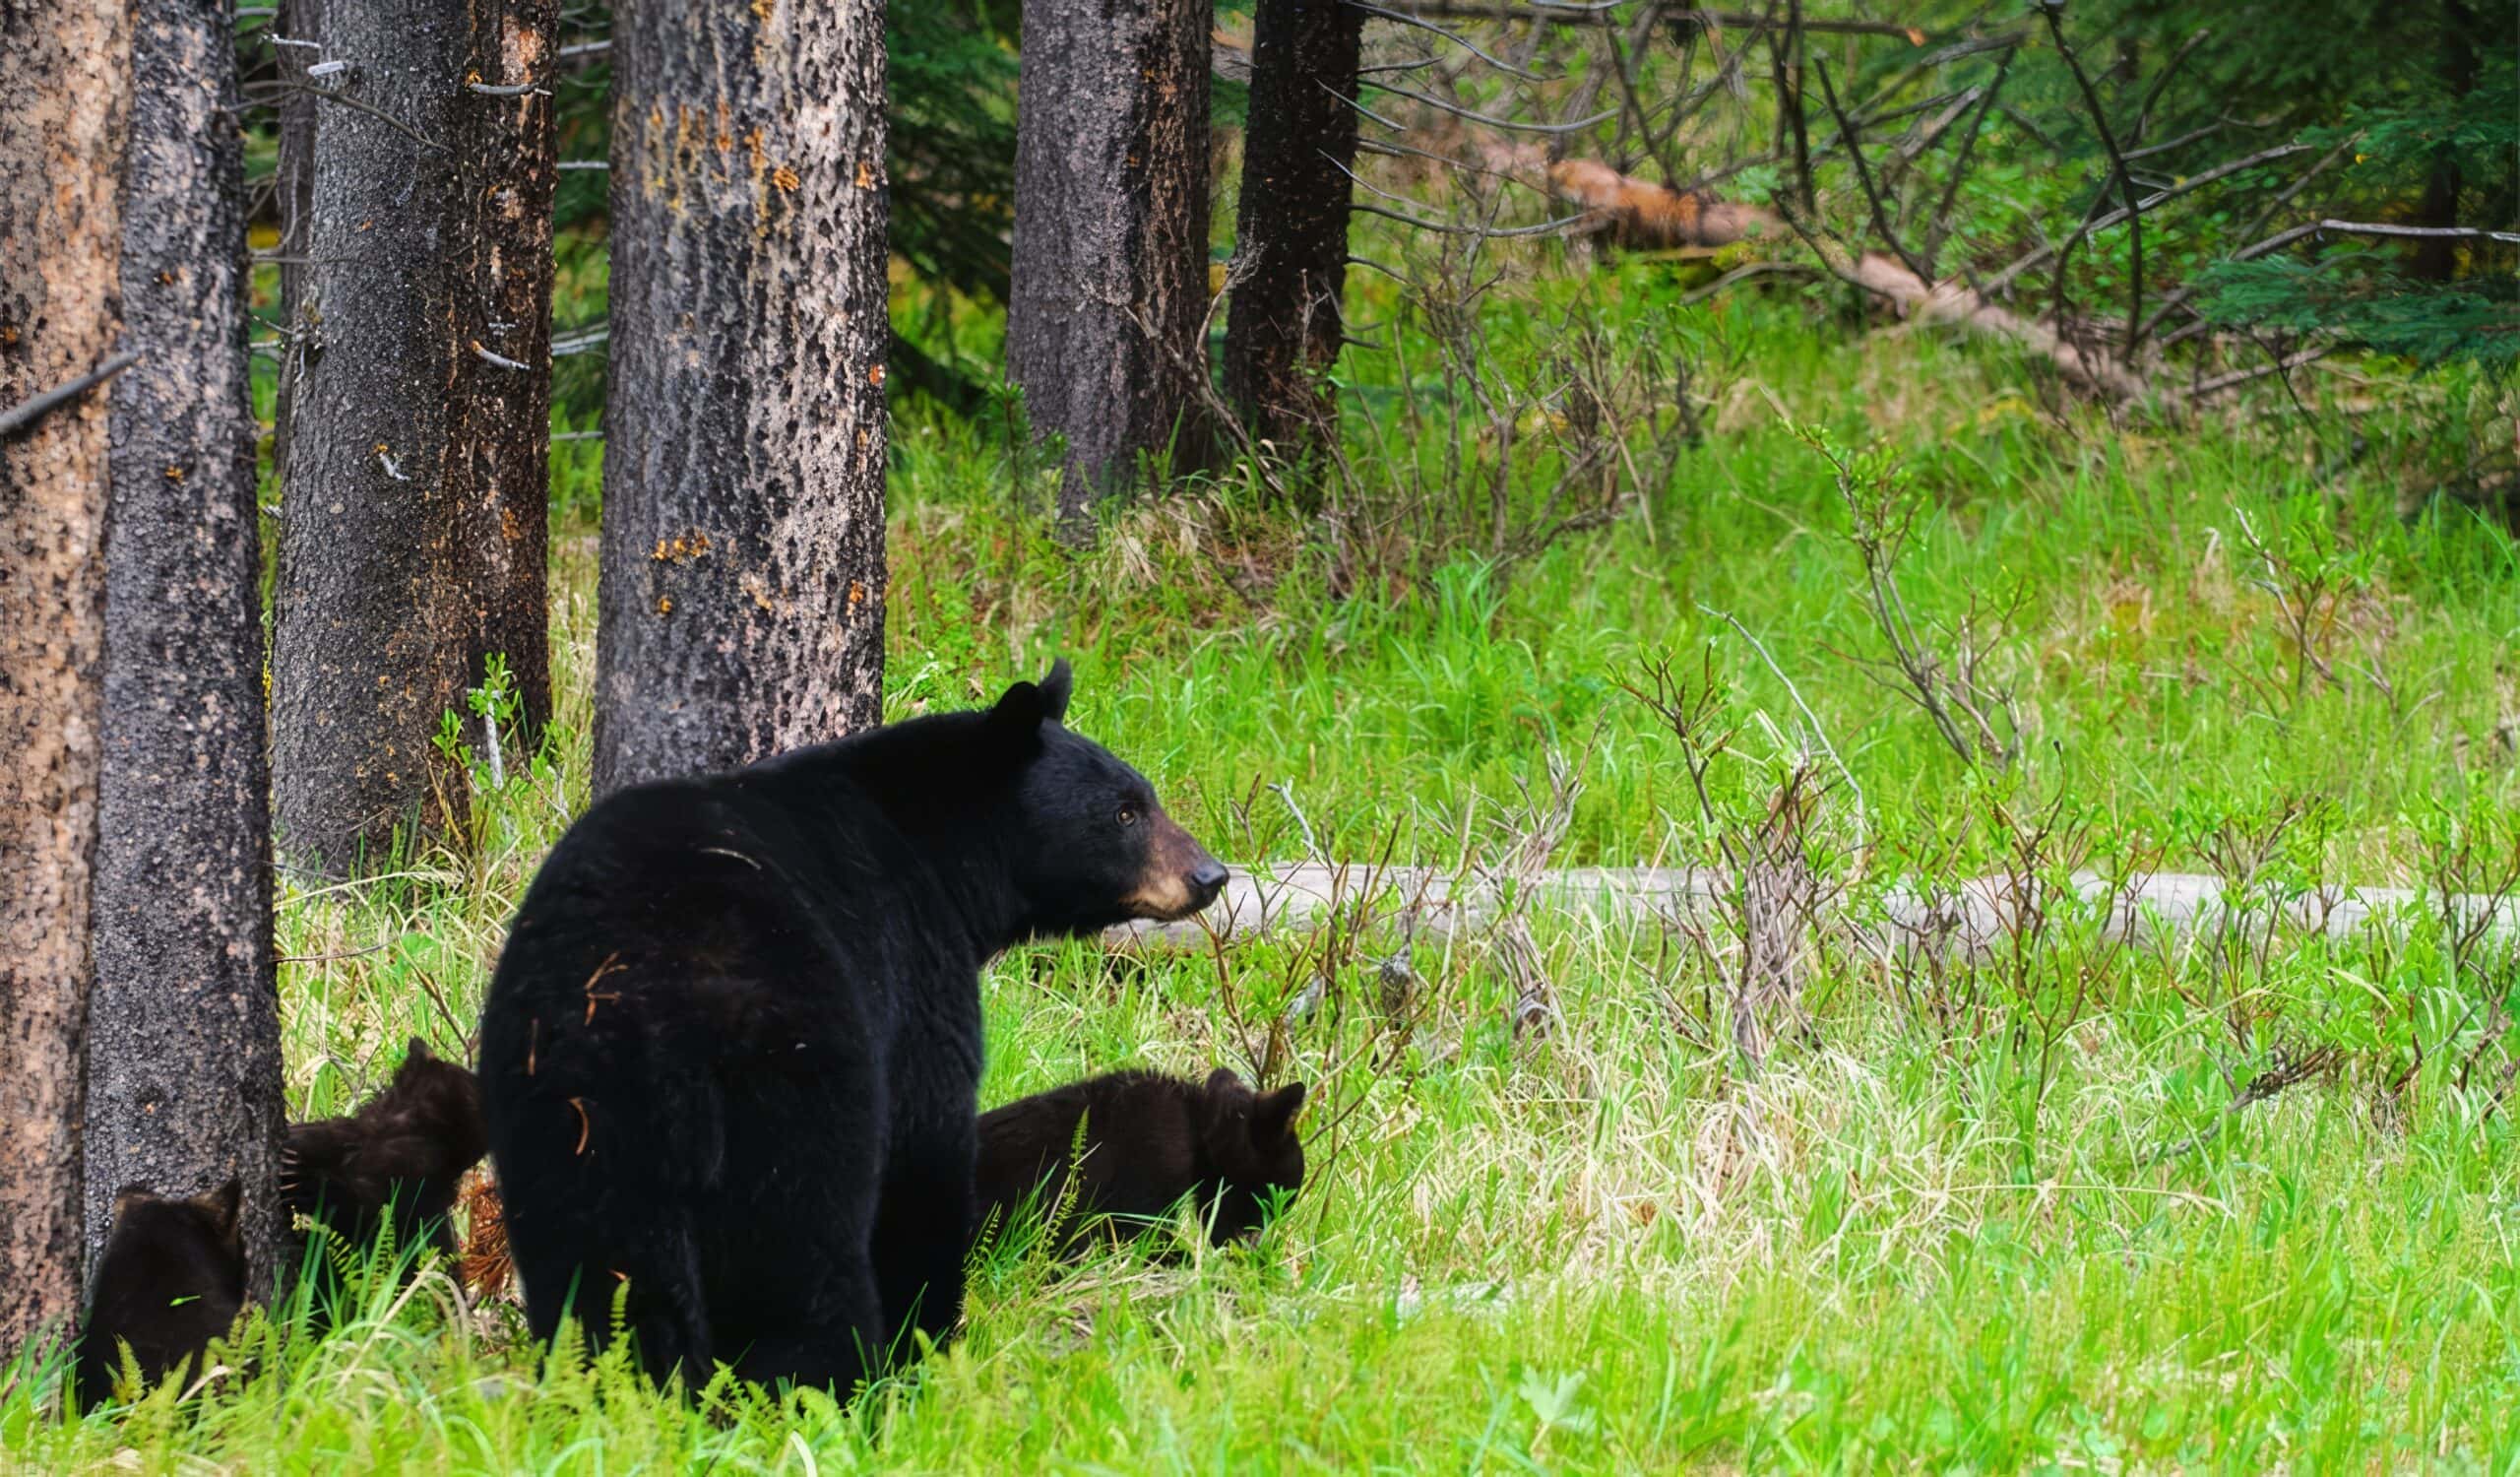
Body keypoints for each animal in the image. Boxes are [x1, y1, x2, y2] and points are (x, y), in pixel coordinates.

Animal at [475, 660, 1225, 1381]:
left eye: (1144, 797)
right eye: (1124, 812)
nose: (1210, 875)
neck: (942, 853)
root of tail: (641, 1007)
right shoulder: (911, 962)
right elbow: (926, 1143)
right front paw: (925, 1333)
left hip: (560, 1109)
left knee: (593, 1269)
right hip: (789, 1084)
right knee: (799, 1256)